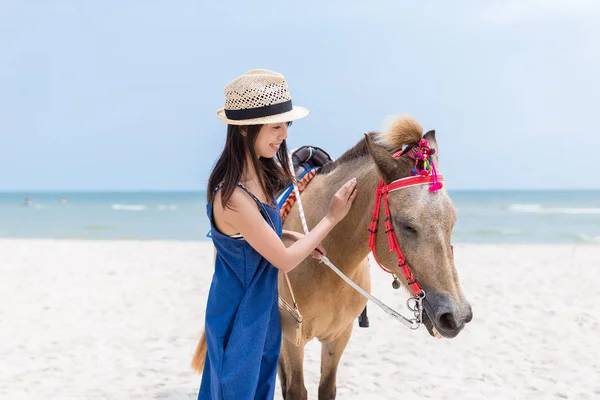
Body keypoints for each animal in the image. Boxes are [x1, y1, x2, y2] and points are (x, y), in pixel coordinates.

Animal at [192, 115, 474, 396]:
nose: (457, 316)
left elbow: (327, 388)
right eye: (407, 225)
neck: (332, 266)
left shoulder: (339, 337)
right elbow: (295, 389)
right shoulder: (292, 337)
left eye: (452, 222)